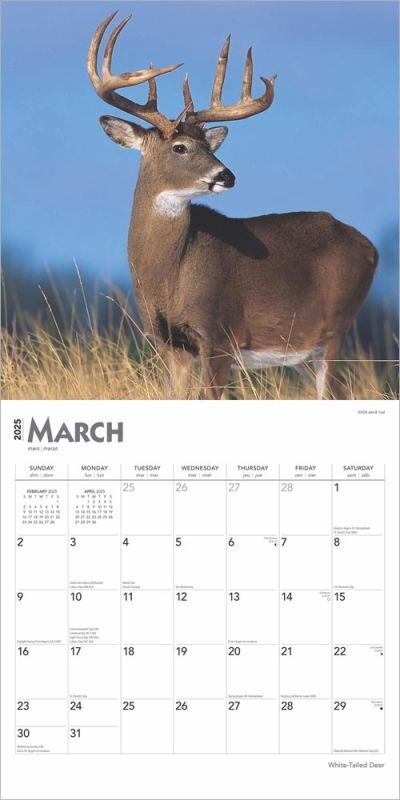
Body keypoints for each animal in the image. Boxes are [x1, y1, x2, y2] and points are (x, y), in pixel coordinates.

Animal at [87, 11, 378, 399]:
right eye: (180, 147)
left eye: (209, 147)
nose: (227, 176)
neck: (170, 275)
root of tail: (370, 248)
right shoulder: (170, 343)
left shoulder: (219, 335)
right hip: (302, 351)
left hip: (335, 328)